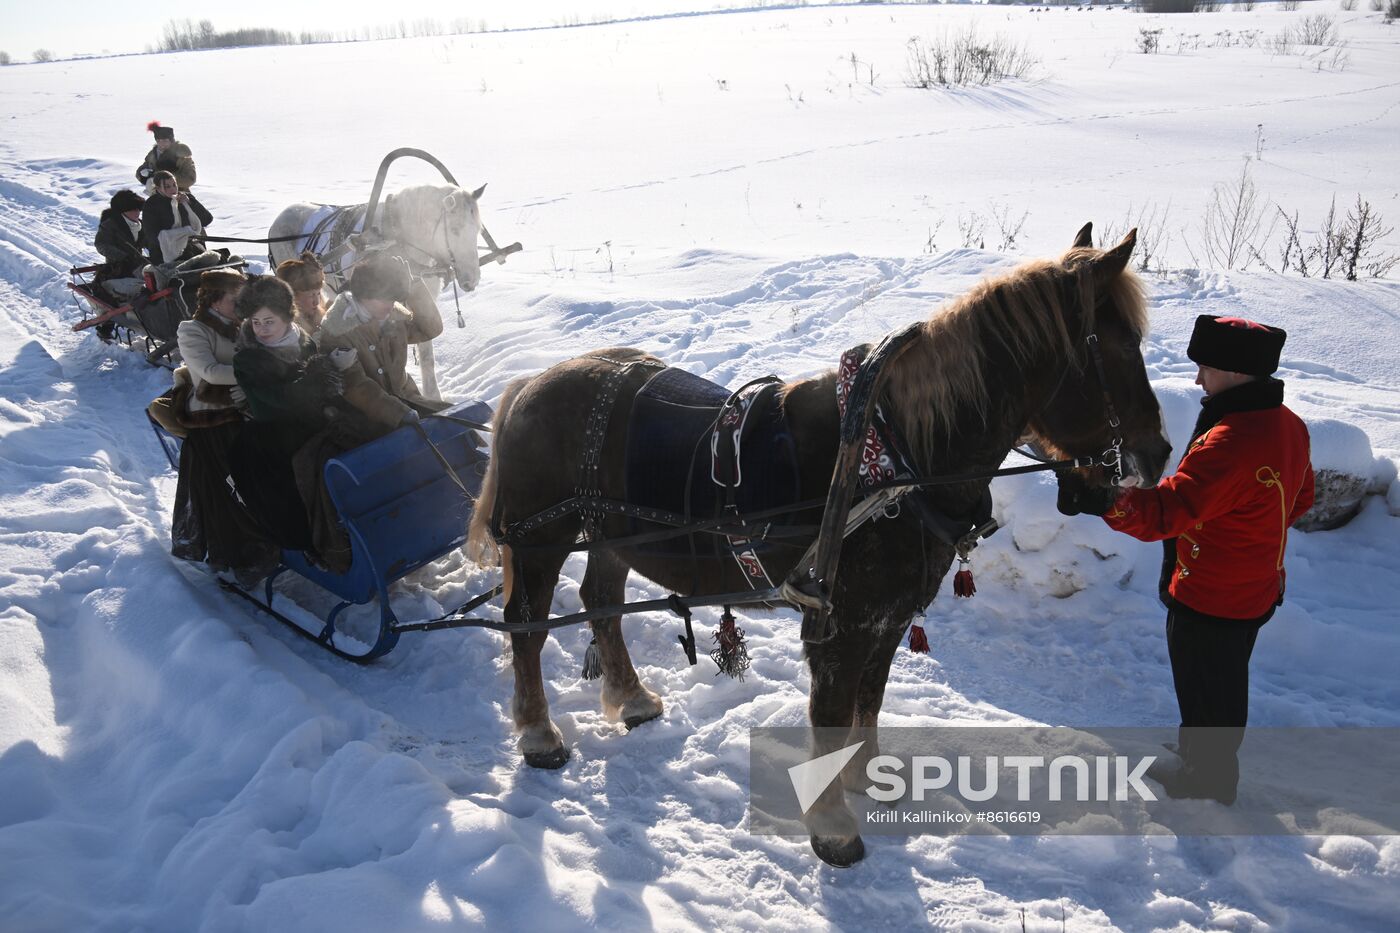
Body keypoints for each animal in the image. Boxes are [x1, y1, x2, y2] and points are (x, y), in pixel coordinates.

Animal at [267, 184, 487, 395]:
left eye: (477, 230)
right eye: (455, 230)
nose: (472, 280)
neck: (397, 236)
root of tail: (280, 217)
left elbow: (426, 353)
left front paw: (432, 394)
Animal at [467, 221, 1170, 862]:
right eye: (1121, 345)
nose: (1158, 454)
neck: (896, 456)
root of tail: (527, 387)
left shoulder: (886, 619)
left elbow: (870, 701)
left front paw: (868, 778)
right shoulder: (841, 623)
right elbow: (832, 714)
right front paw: (833, 827)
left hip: (612, 538)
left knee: (601, 603)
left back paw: (633, 699)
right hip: (540, 540)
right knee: (526, 625)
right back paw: (539, 733)